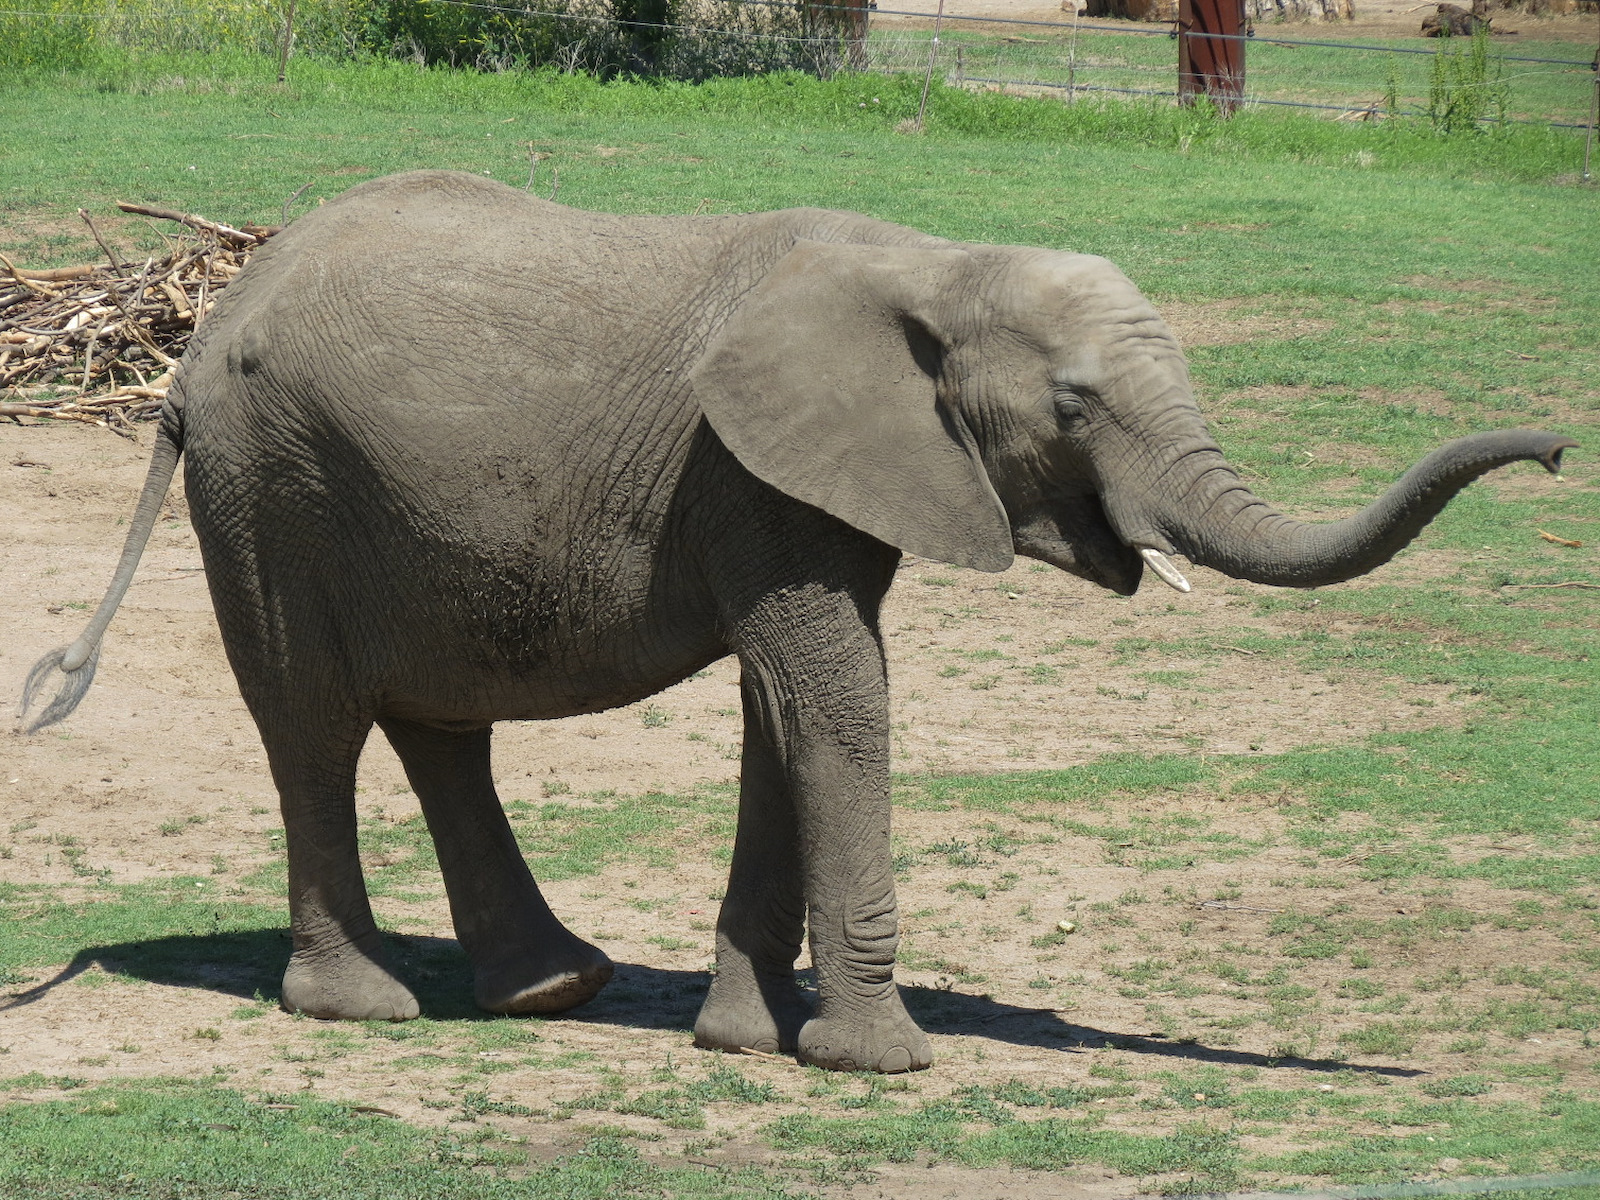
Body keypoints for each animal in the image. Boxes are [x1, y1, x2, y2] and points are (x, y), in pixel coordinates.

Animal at [19, 170, 1574, 1073]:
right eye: (1075, 406)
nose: (1561, 448)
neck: (938, 261)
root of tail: (201, 331)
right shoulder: (750, 471)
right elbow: (837, 696)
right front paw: (880, 1059)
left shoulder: (819, 481)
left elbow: (789, 708)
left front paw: (746, 1036)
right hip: (269, 486)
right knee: (315, 726)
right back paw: (367, 1010)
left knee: (438, 722)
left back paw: (553, 990)